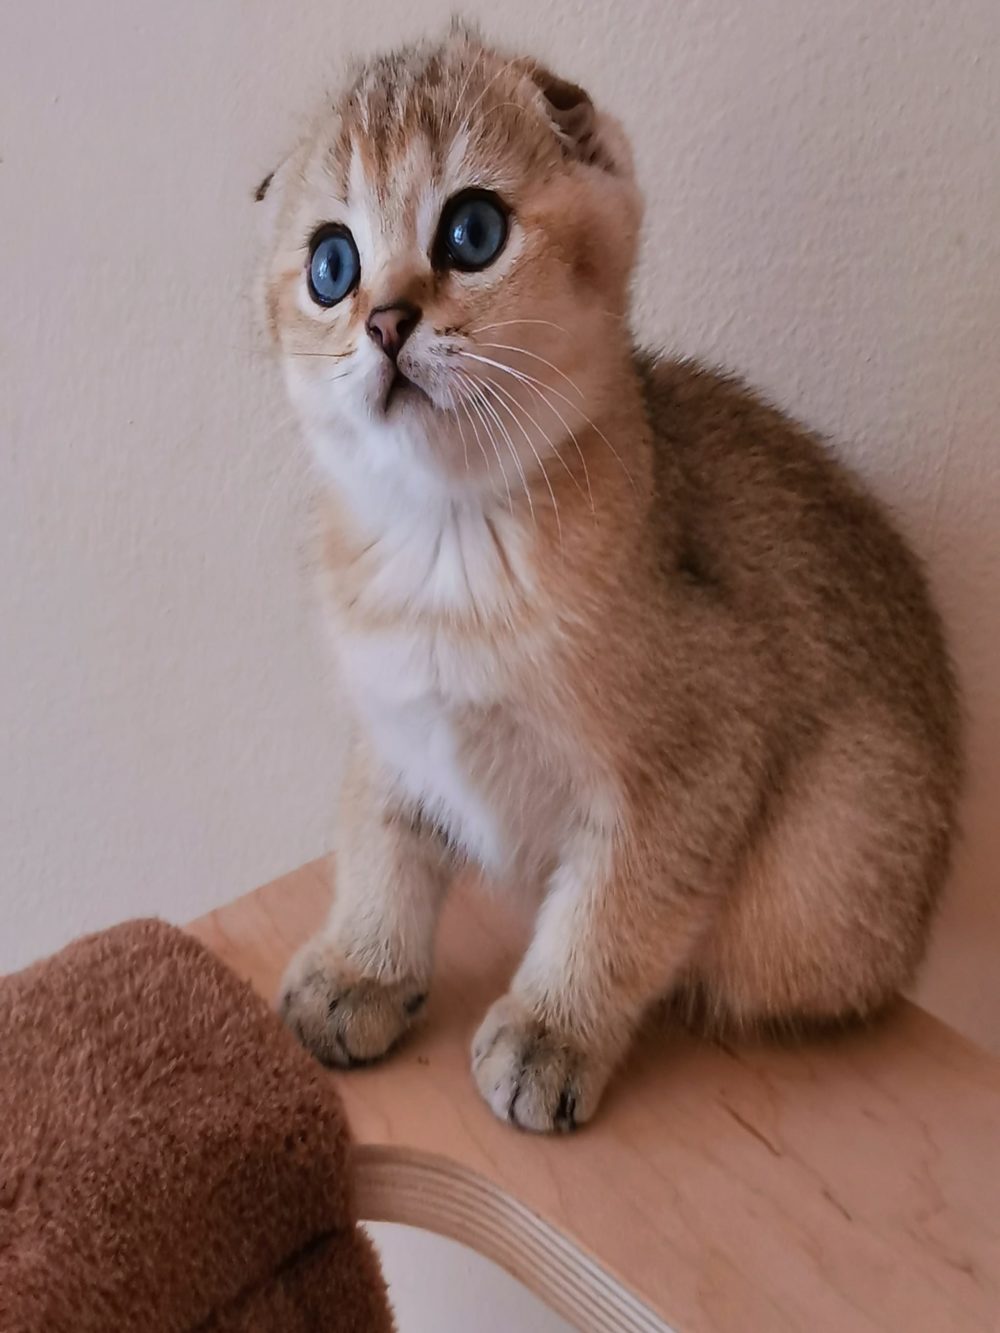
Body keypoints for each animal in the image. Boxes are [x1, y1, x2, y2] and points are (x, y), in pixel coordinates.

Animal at [266, 25, 965, 1130]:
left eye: (472, 230)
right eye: (332, 265)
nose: (384, 320)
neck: (445, 547)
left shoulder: (698, 761)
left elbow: (613, 908)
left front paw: (553, 1029)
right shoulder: (393, 727)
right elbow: (381, 841)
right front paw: (363, 966)